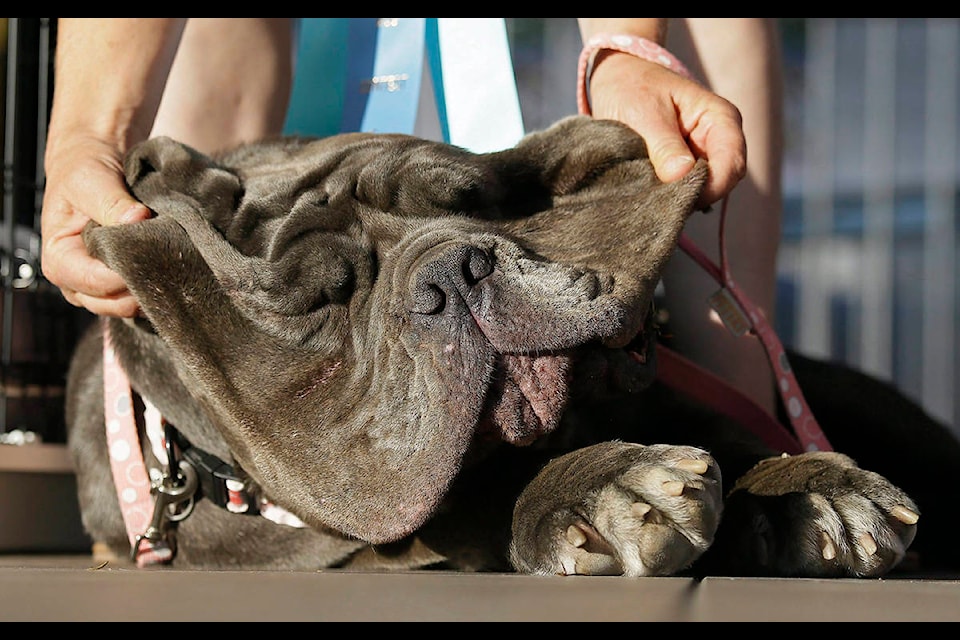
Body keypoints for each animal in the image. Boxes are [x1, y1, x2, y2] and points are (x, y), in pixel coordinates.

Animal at [65, 114, 960, 576]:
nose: (452, 273)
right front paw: (594, 489)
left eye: (472, 201)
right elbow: (485, 499)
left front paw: (807, 486)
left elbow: (735, 433)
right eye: (324, 296)